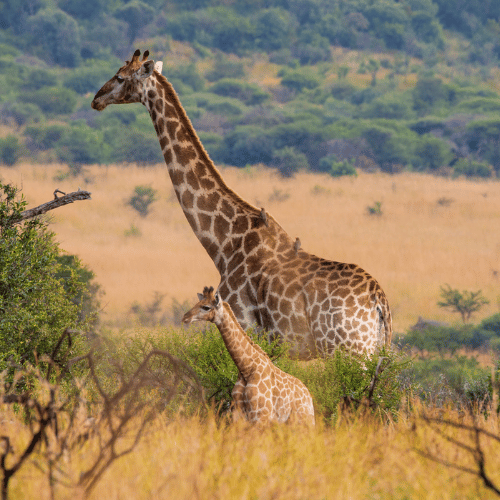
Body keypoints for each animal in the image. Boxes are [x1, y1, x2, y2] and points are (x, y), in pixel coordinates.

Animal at [92, 49, 392, 360]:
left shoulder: (242, 321)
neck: (223, 243)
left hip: (347, 349)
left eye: (120, 77)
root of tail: (379, 302)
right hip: (376, 351)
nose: (96, 99)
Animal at [182, 288, 314, 424]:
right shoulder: (238, 414)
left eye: (206, 307)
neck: (246, 368)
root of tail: (309, 397)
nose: (185, 317)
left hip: (304, 419)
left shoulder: (260, 415)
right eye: (198, 303)